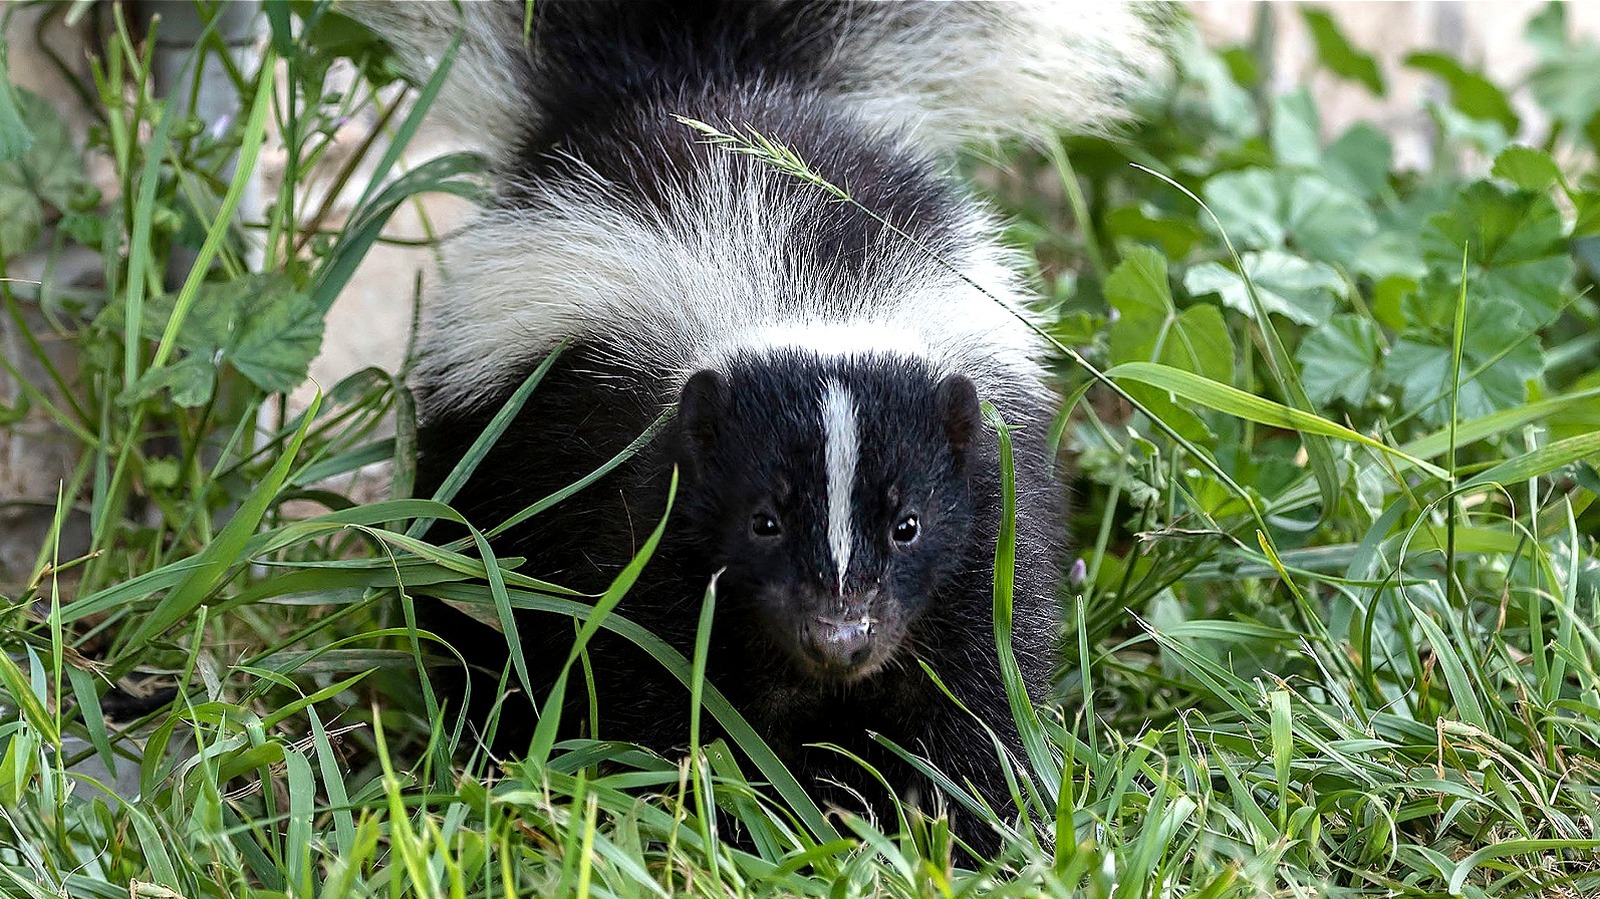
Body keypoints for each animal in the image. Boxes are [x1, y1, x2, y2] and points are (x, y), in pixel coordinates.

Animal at [356, 0, 1171, 838]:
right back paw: (481, 726)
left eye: (907, 524)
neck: (808, 298)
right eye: (764, 521)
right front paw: (705, 810)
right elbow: (655, 664)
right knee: (469, 595)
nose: (840, 636)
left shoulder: (987, 505)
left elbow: (977, 675)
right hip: (487, 441)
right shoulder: (638, 494)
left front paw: (979, 821)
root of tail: (697, 80)